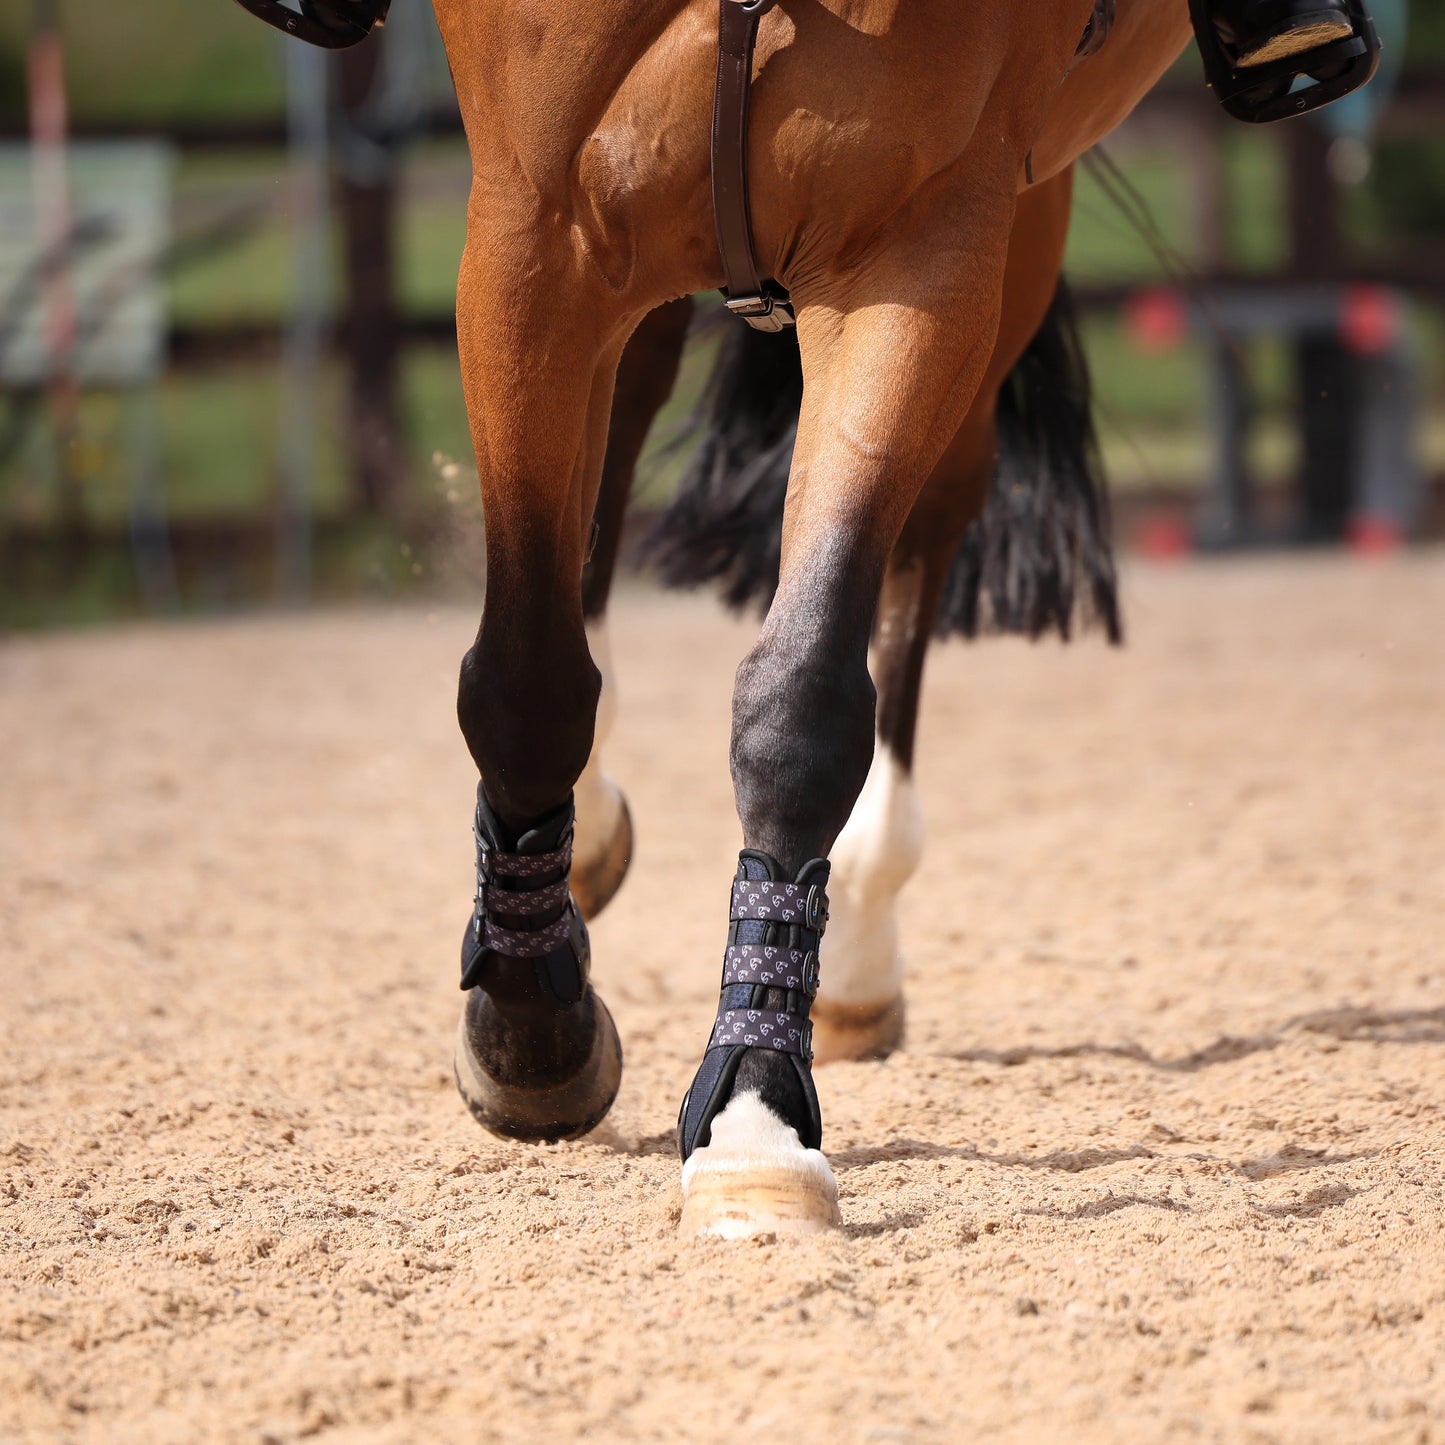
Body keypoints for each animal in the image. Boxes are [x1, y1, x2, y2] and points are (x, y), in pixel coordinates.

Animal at [424, 0, 1195, 1238]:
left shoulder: (920, 243)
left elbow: (804, 696)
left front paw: (752, 1117)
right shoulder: (532, 225)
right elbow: (524, 677)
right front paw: (534, 1022)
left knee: (930, 519)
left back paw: (860, 940)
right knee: (628, 387)